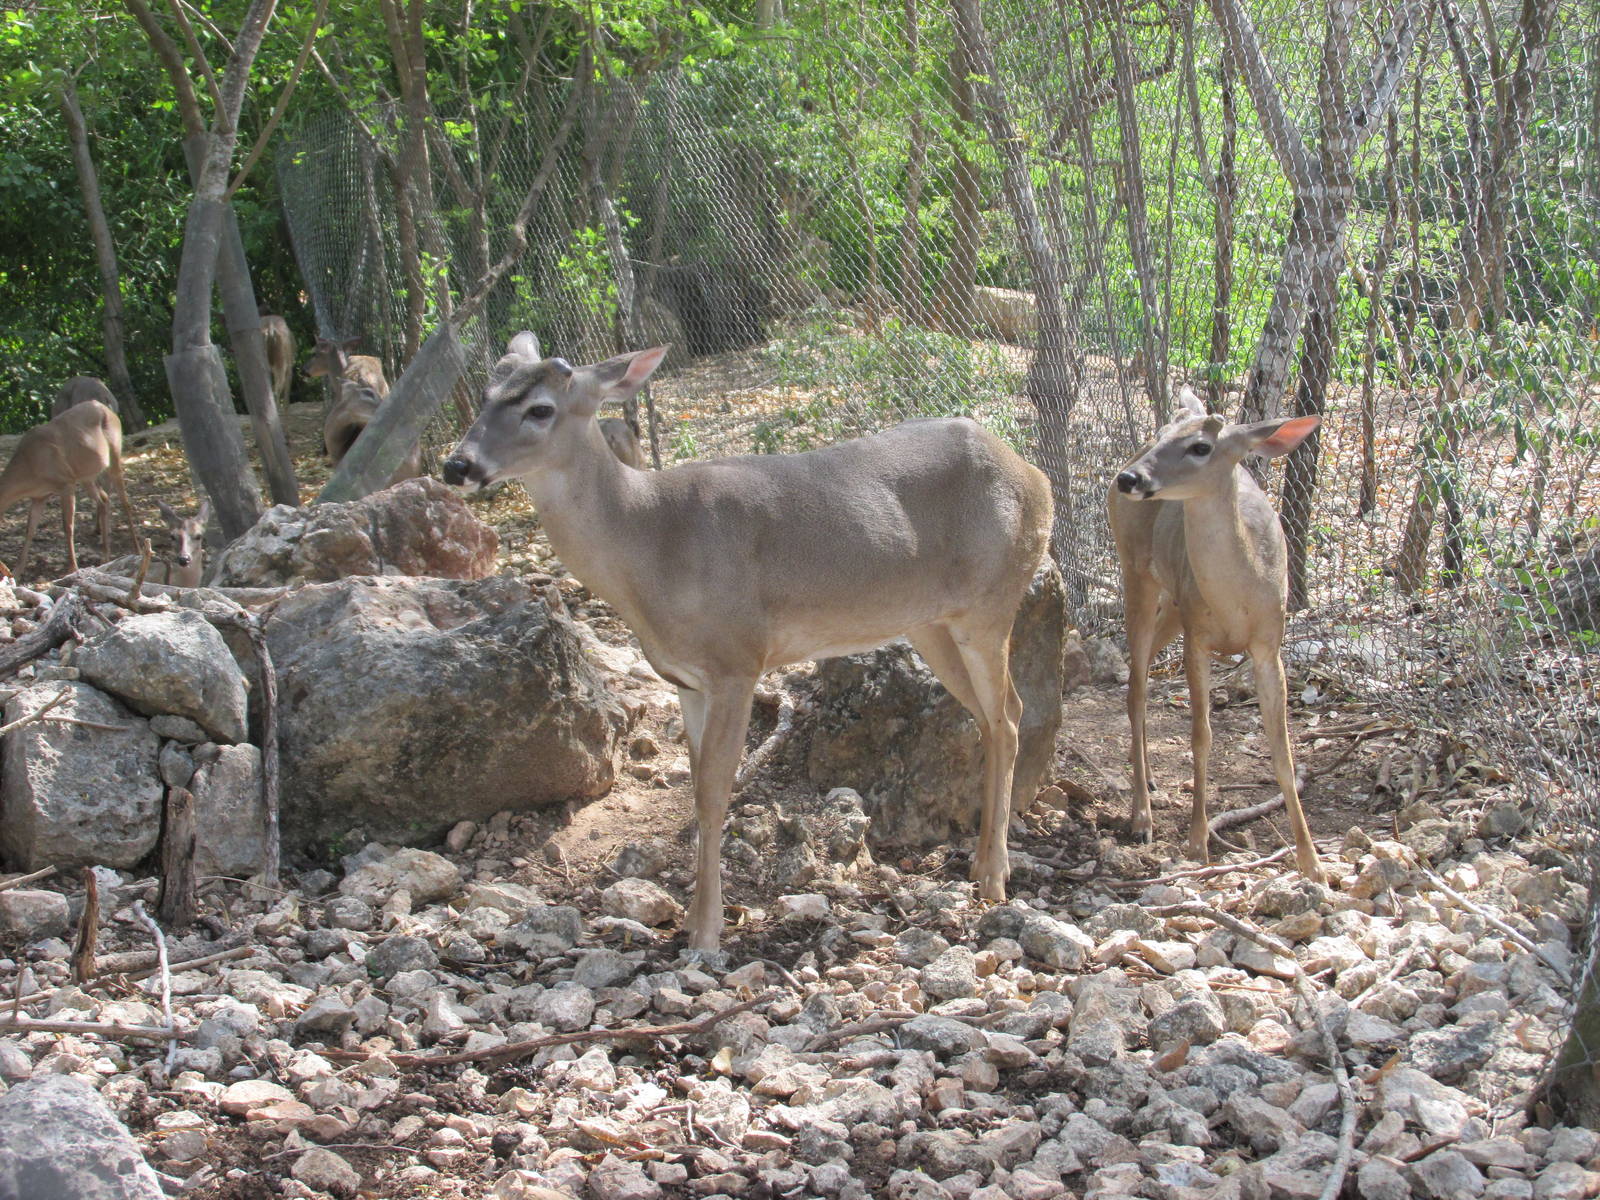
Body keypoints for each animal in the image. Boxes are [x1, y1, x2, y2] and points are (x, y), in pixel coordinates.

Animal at [0, 399, 137, 580]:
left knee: (124, 501)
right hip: (86, 475)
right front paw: (16, 572)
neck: (30, 466)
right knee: (103, 498)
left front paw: (72, 568)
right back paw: (105, 555)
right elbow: (30, 530)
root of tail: (106, 408)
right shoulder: (39, 496)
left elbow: (68, 526)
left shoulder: (66, 483)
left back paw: (137, 549)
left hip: (114, 452)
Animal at [442, 334, 1053, 956]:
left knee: (1008, 713)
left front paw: (708, 930)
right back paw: (981, 863)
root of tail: (1036, 475)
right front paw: (690, 918)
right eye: (486, 394)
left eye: (540, 408)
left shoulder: (737, 660)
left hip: (990, 603)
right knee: (991, 715)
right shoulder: (686, 680)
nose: (456, 465)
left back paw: (994, 877)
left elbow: (714, 794)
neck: (651, 543)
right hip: (930, 623)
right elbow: (695, 789)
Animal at [1108, 386, 1325, 884]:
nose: (1129, 478)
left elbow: (1282, 749)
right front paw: (1197, 841)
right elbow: (1201, 736)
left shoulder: (1269, 643)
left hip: (1173, 602)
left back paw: (1150, 782)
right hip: (1136, 572)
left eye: (1201, 447)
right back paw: (1142, 815)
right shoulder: (1198, 636)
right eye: (1162, 434)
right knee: (1136, 688)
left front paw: (1313, 862)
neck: (1237, 599)